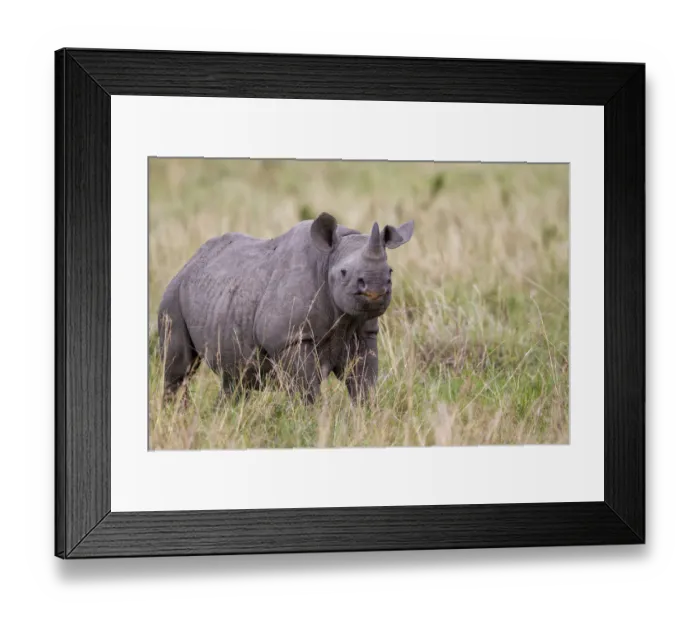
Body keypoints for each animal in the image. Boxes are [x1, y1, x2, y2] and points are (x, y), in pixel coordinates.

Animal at [157, 212, 414, 406]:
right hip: (173, 295)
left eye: (390, 272)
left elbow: (363, 383)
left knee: (236, 380)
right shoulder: (290, 338)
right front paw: (313, 423)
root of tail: (189, 262)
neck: (327, 260)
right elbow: (306, 391)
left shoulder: (362, 332)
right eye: (343, 273)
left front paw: (367, 417)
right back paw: (176, 417)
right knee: (178, 370)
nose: (375, 290)